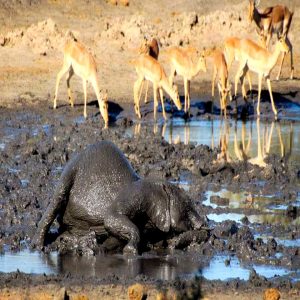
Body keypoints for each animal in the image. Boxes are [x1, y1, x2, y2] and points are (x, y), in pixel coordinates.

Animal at [32, 141, 206, 253]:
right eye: (187, 207)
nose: (203, 225)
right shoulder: (138, 195)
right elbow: (111, 218)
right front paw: (130, 252)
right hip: (68, 174)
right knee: (54, 203)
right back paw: (38, 247)